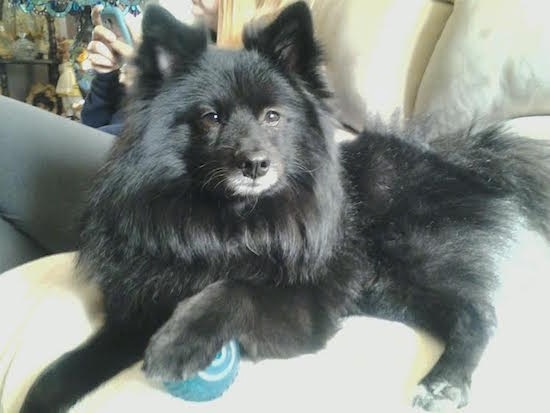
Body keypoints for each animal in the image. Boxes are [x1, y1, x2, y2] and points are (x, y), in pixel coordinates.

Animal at [21, 4, 550, 412]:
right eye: (211, 118)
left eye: (273, 116)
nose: (256, 164)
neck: (228, 223)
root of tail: (459, 157)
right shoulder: (137, 308)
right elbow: (59, 374)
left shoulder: (306, 302)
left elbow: (233, 288)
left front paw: (179, 342)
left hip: (407, 260)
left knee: (478, 313)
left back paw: (445, 383)